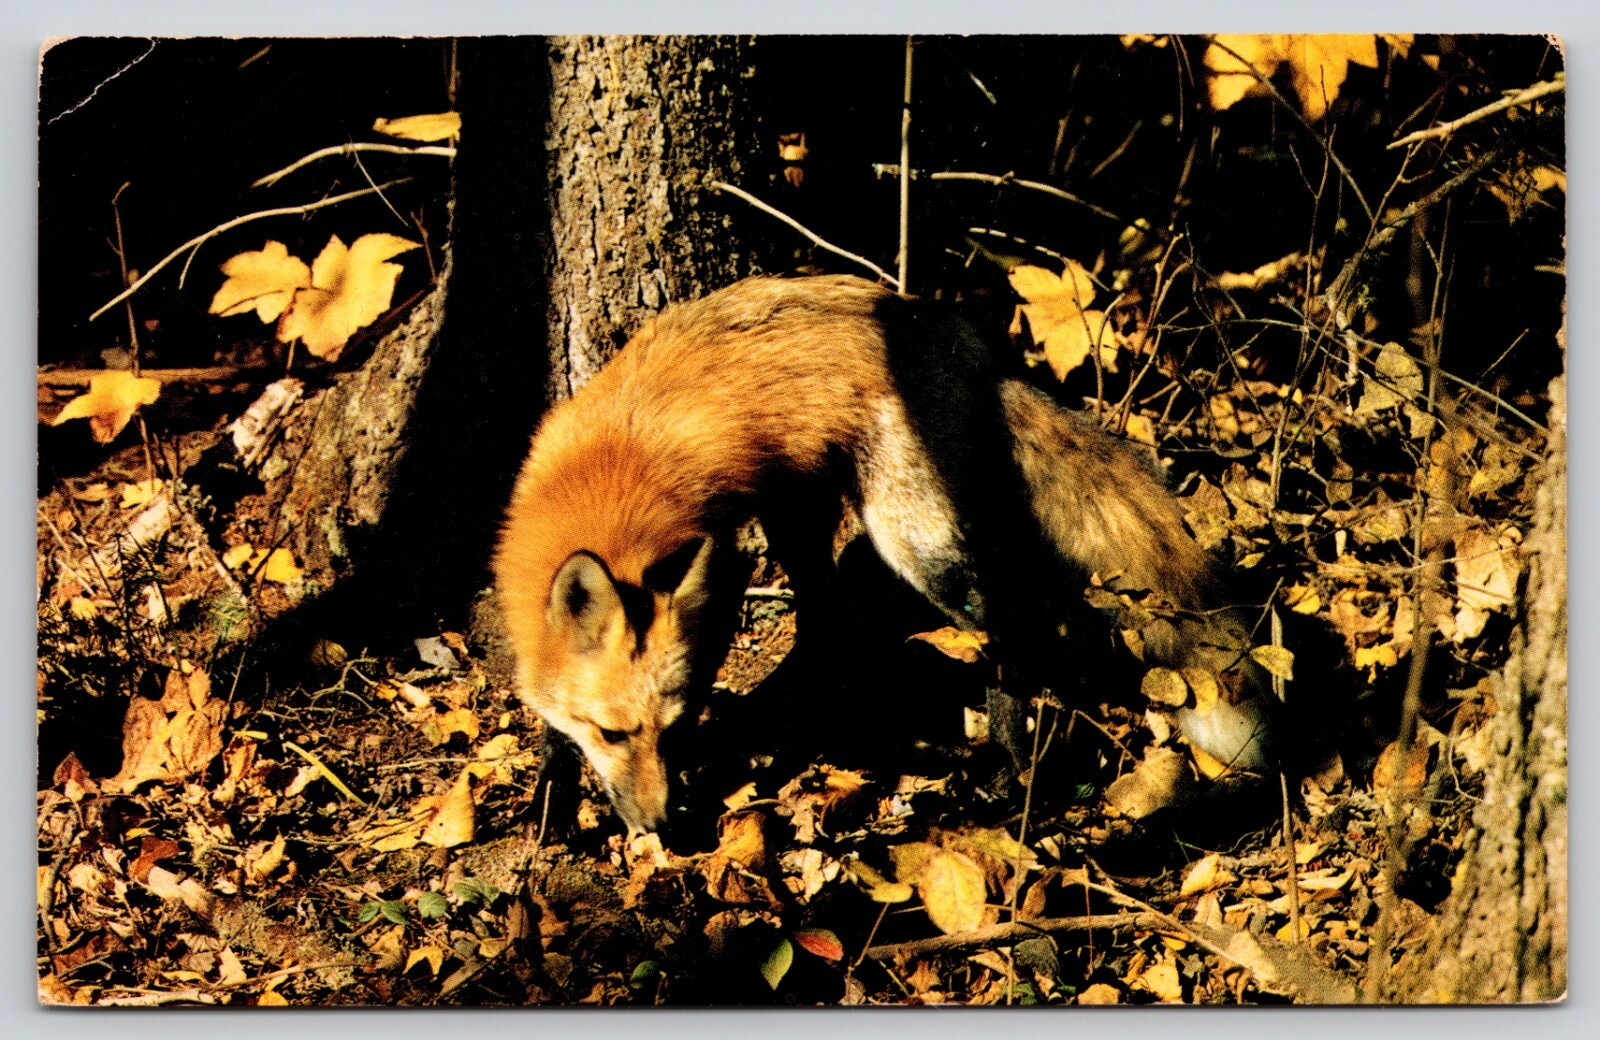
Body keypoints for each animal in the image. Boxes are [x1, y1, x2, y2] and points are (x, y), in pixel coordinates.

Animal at [493, 274, 1273, 835]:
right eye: (612, 733)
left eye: (675, 727)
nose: (660, 823)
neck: (605, 478)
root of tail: (963, 340)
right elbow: (549, 709)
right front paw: (551, 800)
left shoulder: (723, 555)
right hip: (821, 509)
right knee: (841, 620)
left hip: (911, 540)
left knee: (1006, 626)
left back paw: (1009, 771)